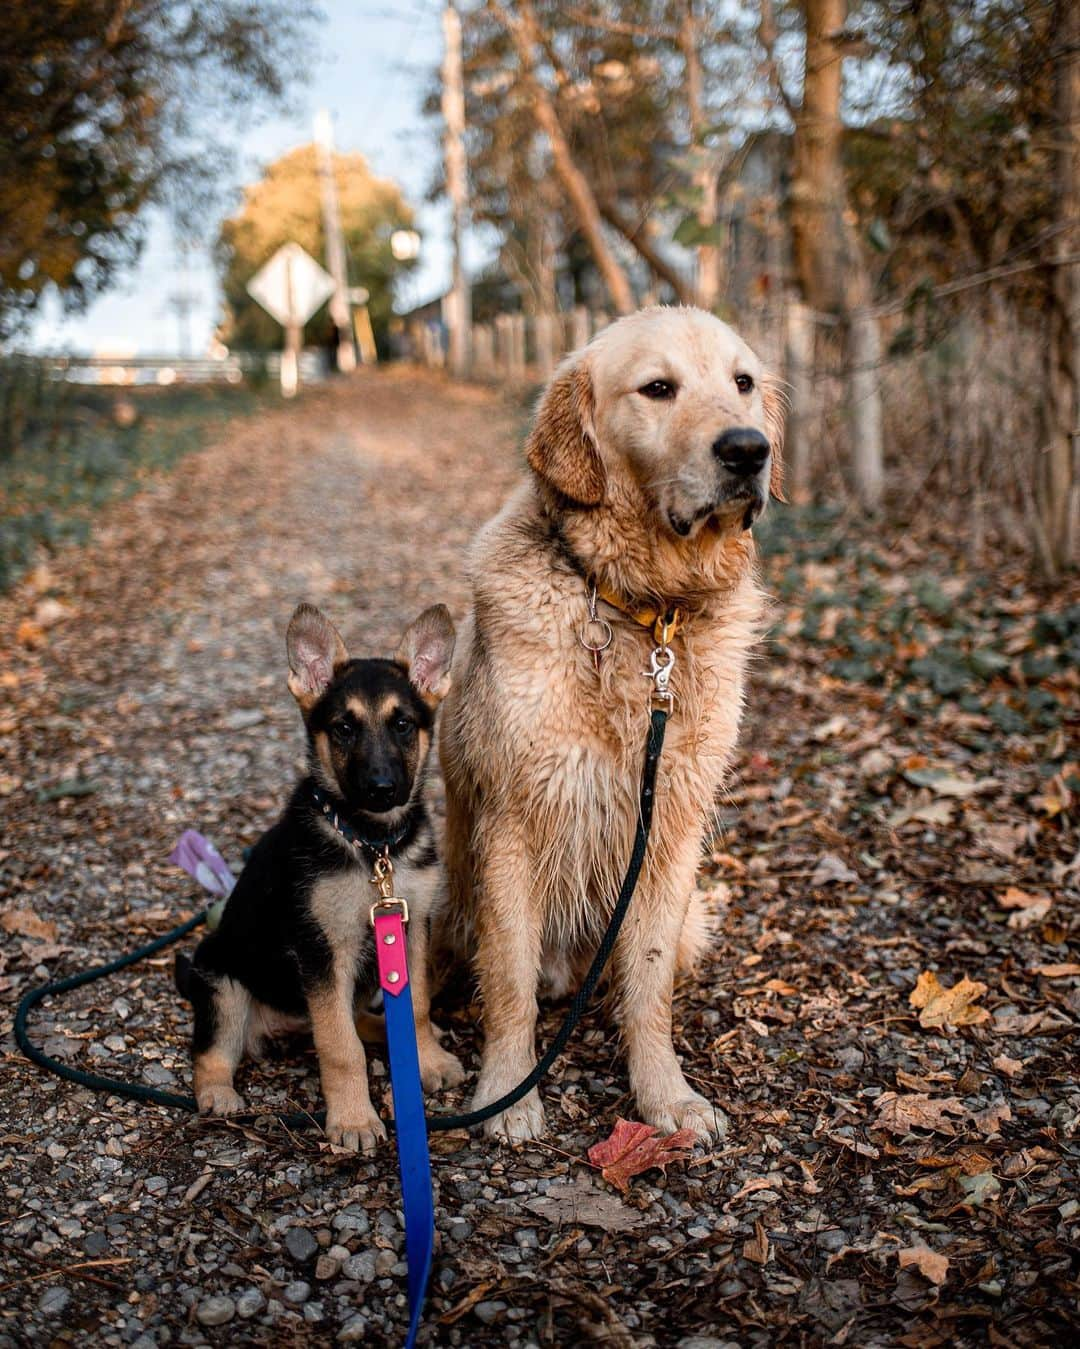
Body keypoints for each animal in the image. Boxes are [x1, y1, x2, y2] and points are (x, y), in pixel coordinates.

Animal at [176, 607, 463, 1154]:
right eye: (344, 728)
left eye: (402, 724)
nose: (381, 788)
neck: (372, 844)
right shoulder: (320, 948)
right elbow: (338, 1045)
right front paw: (353, 1119)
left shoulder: (410, 929)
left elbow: (414, 1006)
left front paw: (427, 1060)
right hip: (221, 979)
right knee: (212, 1050)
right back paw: (218, 1094)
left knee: (352, 1017)